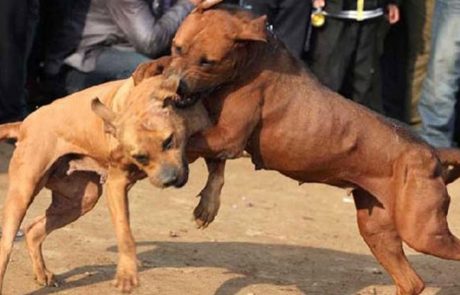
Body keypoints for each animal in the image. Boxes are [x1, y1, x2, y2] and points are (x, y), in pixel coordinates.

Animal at [0, 72, 208, 294]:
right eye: (141, 157)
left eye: (168, 141)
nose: (170, 179)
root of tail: (24, 124)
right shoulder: (116, 184)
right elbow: (125, 233)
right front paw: (127, 274)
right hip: (23, 193)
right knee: (6, 245)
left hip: (80, 200)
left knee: (33, 231)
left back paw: (42, 273)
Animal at [134, 4, 460, 295]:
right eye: (177, 47)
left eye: (208, 62)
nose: (177, 87)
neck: (251, 59)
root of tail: (431, 151)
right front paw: (148, 68)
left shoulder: (227, 137)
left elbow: (191, 140)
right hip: (377, 227)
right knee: (411, 282)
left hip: (422, 232)